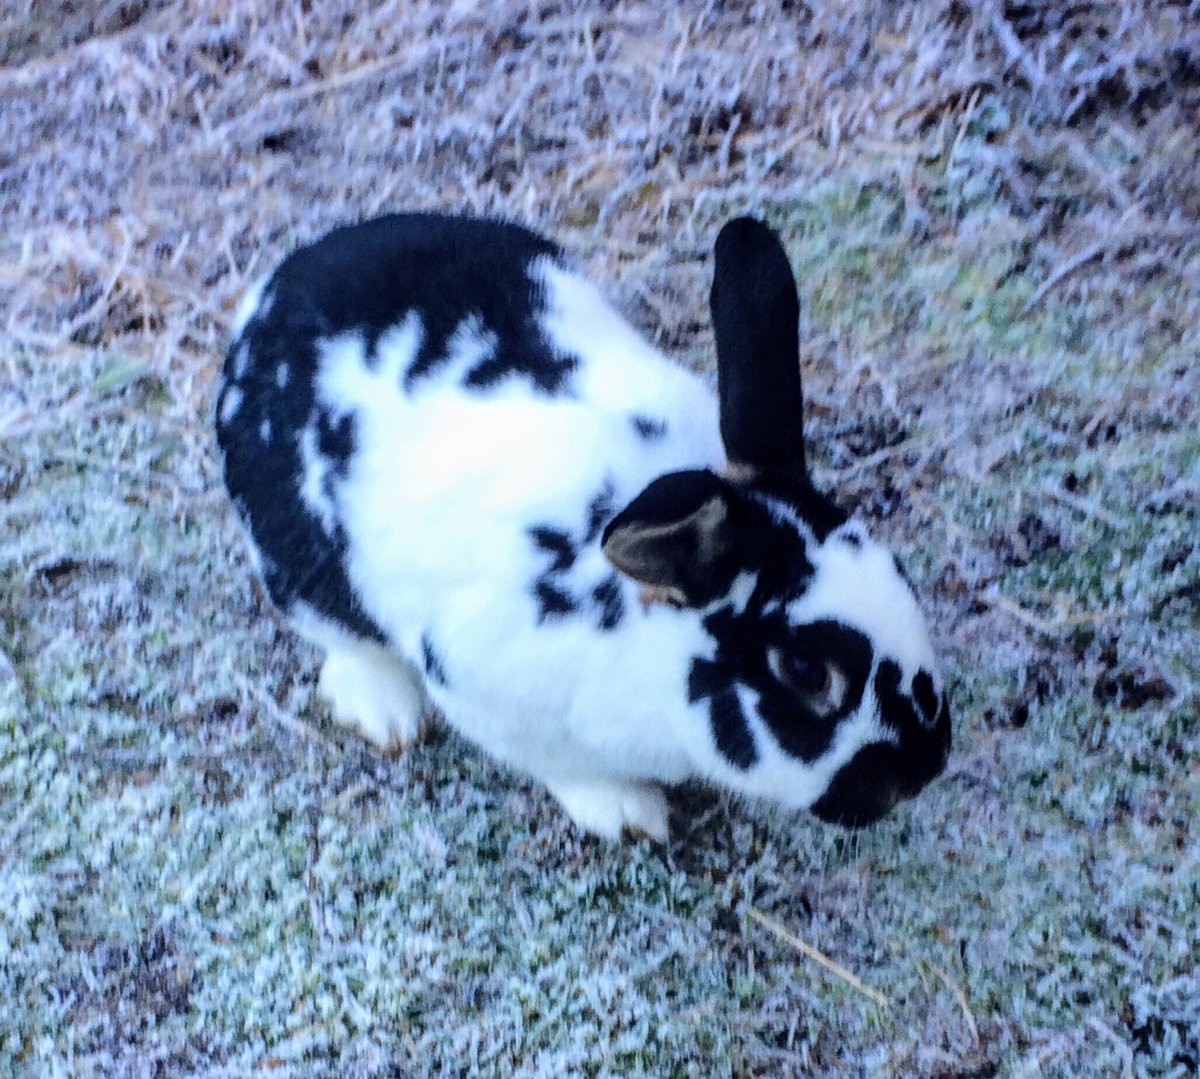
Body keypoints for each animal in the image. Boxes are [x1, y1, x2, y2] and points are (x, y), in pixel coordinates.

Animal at [216, 212, 951, 842]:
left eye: (900, 575)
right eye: (803, 670)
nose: (925, 770)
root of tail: (270, 297)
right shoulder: (491, 694)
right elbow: (566, 769)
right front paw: (630, 814)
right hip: (299, 568)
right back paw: (387, 712)